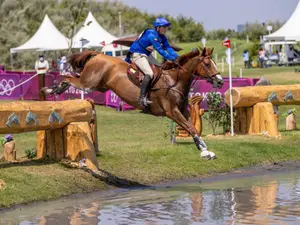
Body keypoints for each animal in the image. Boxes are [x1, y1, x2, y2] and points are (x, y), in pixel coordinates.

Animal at [43, 47, 224, 160]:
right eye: (207, 64)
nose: (220, 81)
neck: (174, 81)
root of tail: (98, 54)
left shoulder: (182, 111)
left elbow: (192, 127)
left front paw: (205, 149)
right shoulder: (172, 112)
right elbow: (191, 128)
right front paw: (205, 152)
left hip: (100, 86)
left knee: (70, 79)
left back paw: (54, 89)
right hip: (88, 83)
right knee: (68, 78)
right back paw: (51, 89)